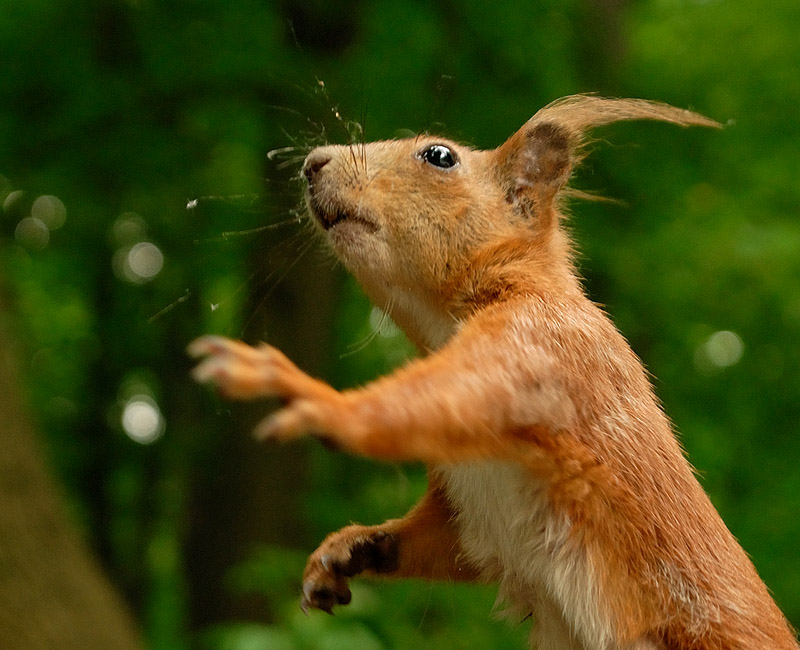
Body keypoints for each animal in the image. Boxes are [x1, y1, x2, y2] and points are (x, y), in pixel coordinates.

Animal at [189, 96, 800, 648]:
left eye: (439, 156)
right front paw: (348, 548)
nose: (314, 162)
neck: (441, 326)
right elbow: (444, 542)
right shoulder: (469, 509)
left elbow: (430, 397)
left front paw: (305, 392)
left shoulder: (541, 347)